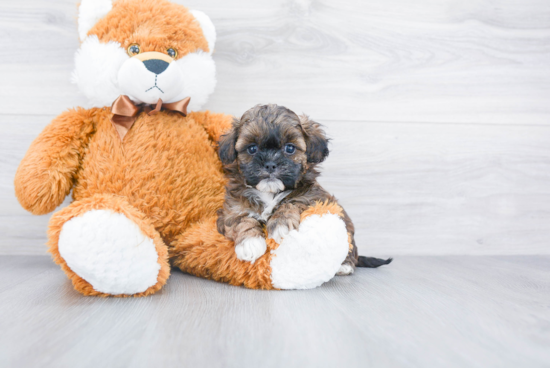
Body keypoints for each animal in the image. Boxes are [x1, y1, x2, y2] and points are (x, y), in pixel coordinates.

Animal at [217, 105, 392, 274]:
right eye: (252, 148)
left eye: (290, 148)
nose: (270, 164)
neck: (269, 193)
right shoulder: (232, 207)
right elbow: (240, 219)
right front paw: (249, 243)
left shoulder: (313, 197)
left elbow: (292, 202)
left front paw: (281, 224)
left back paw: (344, 266)